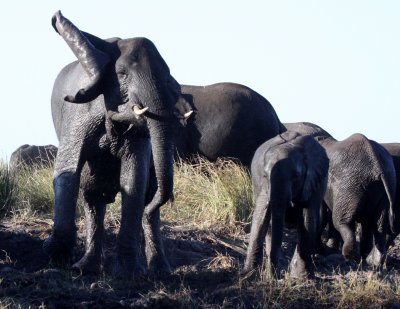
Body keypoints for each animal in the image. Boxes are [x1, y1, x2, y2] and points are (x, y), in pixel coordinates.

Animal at [242, 131, 330, 278]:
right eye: (265, 175)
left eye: (296, 176)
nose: (275, 276)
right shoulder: (262, 183)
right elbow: (260, 214)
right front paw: (248, 276)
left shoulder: (314, 181)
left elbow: (307, 217)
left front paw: (302, 278)